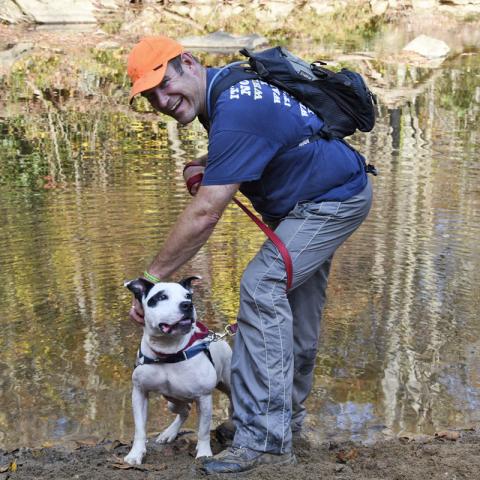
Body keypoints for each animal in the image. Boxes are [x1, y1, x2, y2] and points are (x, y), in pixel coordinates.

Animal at [122, 278, 231, 464]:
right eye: (162, 297)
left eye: (188, 296)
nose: (187, 305)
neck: (168, 352)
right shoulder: (139, 393)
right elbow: (140, 430)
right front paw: (135, 454)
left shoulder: (204, 397)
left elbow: (203, 430)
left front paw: (204, 453)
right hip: (172, 402)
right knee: (184, 411)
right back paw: (169, 433)